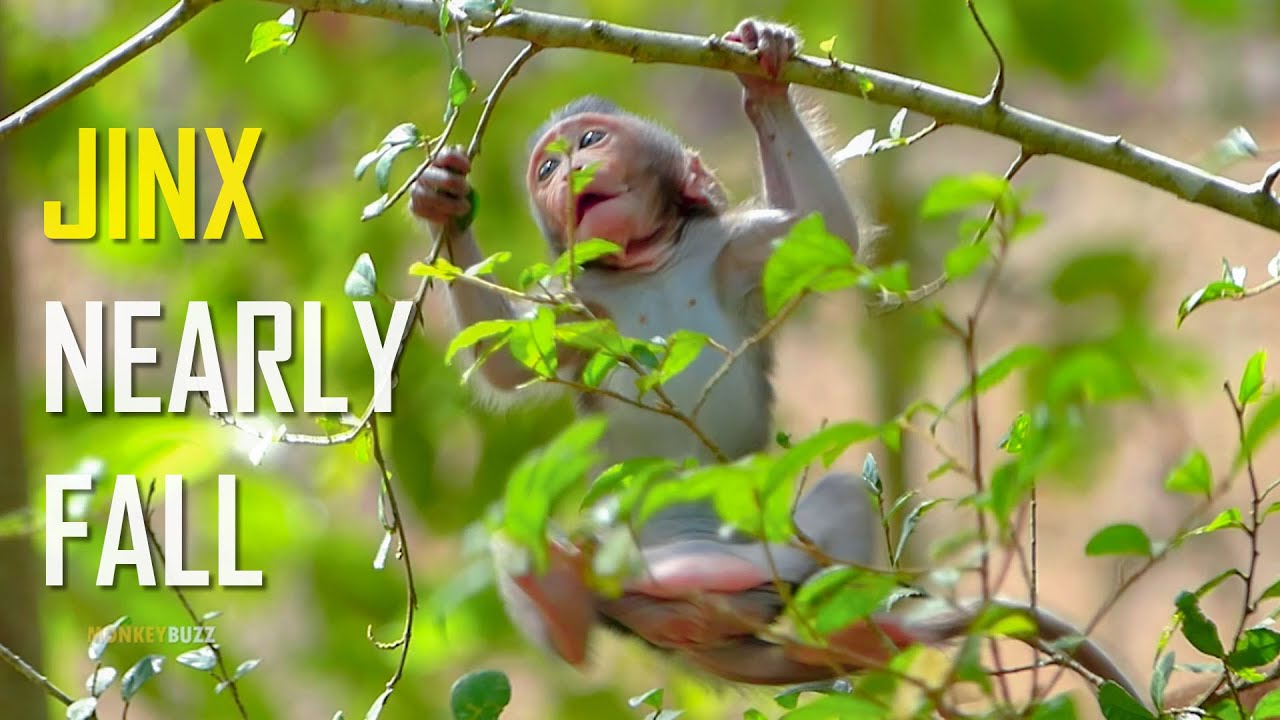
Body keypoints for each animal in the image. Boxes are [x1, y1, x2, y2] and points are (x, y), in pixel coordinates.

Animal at [410, 16, 1146, 703]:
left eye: (591, 141)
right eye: (545, 170)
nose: (567, 169)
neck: (646, 263)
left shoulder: (737, 249)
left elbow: (825, 235)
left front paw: (764, 77)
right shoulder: (574, 305)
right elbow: (503, 361)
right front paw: (443, 203)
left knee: (837, 503)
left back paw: (844, 632)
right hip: (624, 564)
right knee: (533, 551)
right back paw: (560, 598)